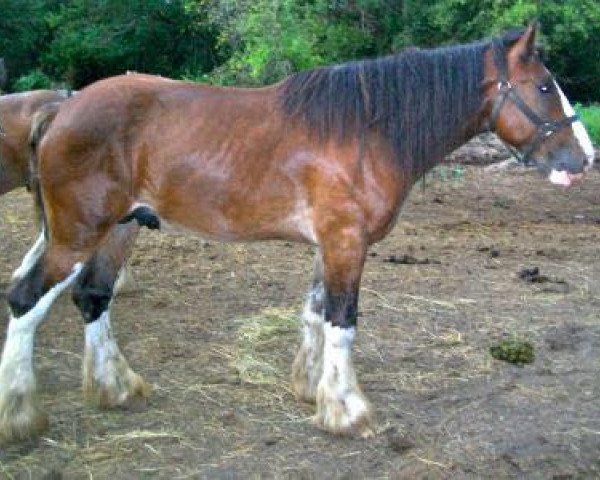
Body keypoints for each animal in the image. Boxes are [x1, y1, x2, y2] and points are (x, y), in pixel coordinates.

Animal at [0, 23, 592, 442]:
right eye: (544, 86)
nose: (584, 158)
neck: (366, 131)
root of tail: (61, 110)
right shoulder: (346, 243)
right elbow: (343, 321)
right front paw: (349, 412)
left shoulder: (330, 245)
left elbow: (315, 313)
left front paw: (315, 391)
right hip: (77, 236)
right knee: (26, 300)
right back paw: (21, 415)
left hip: (118, 232)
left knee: (92, 297)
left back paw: (116, 389)